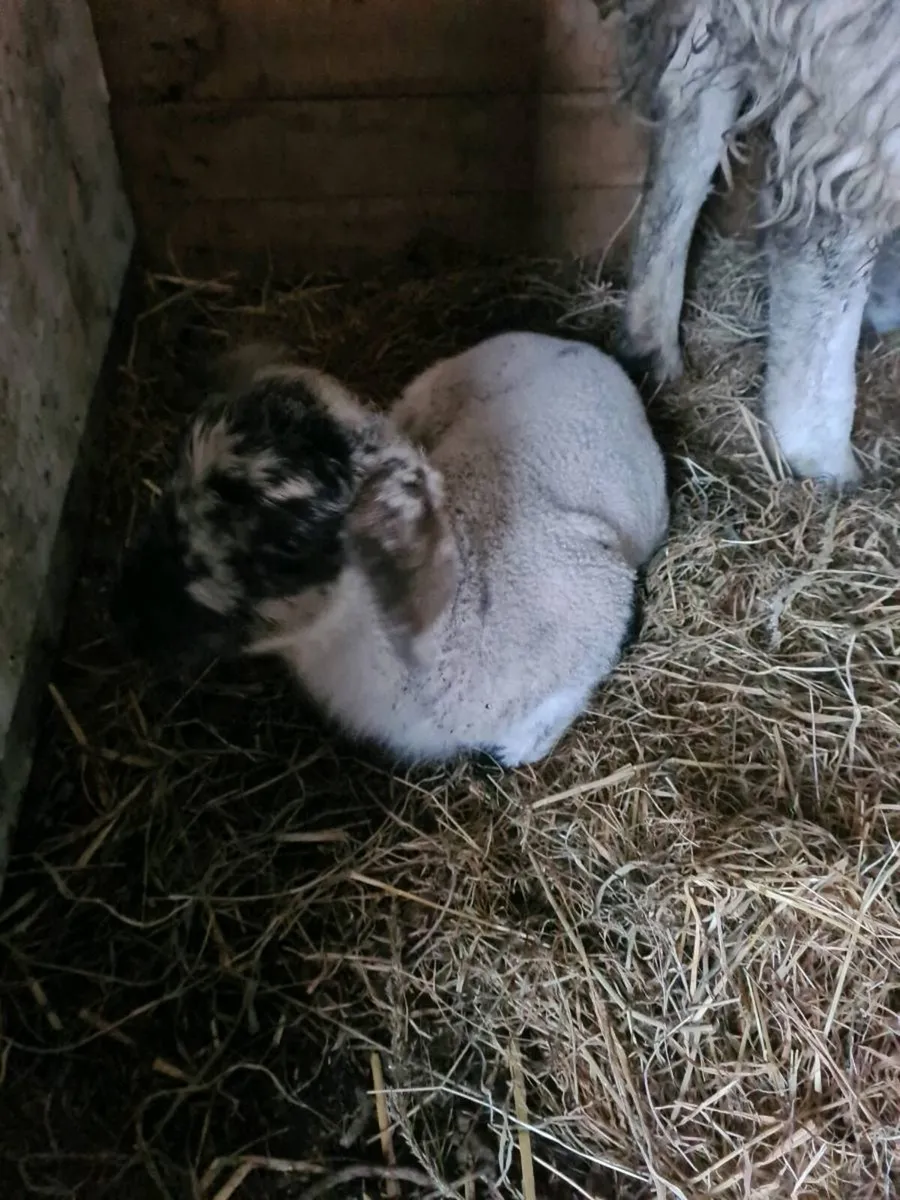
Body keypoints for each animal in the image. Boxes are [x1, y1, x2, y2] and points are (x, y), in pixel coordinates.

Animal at [111, 333, 669, 768]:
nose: (128, 612)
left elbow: (528, 738)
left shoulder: (599, 605)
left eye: (290, 543)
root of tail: (573, 345)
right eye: (173, 478)